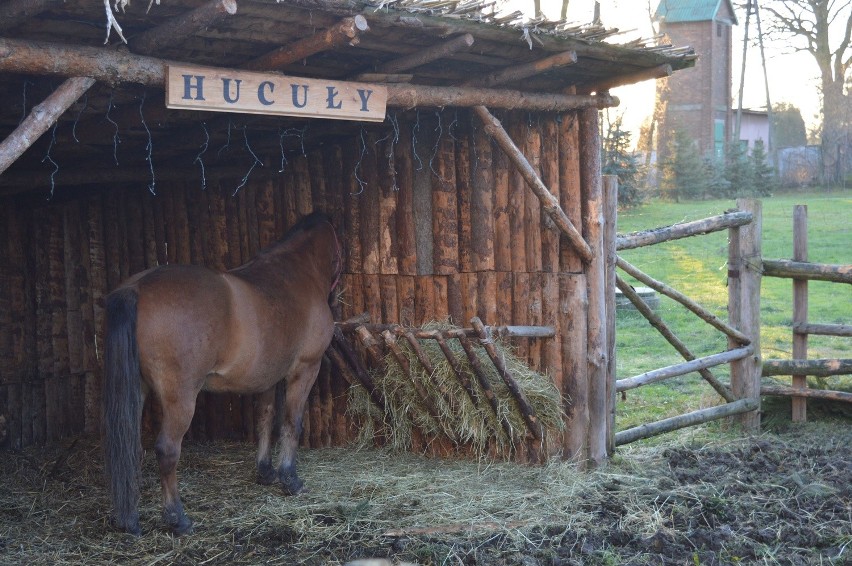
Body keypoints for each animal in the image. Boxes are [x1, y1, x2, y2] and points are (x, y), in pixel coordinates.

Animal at [100, 212, 340, 536]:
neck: (297, 273)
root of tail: (137, 288)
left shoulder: (267, 377)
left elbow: (265, 419)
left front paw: (265, 471)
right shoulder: (305, 368)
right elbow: (292, 422)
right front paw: (290, 479)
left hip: (137, 390)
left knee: (130, 449)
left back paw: (129, 519)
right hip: (180, 398)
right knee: (167, 450)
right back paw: (177, 518)